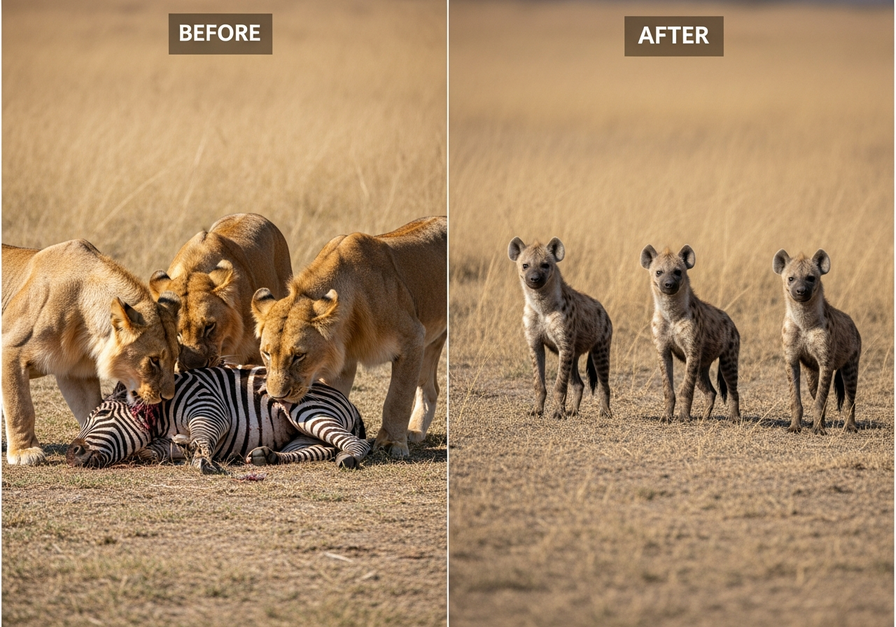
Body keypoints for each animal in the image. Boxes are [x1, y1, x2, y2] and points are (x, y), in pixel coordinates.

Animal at [2, 240, 181, 465]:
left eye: (175, 358)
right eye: (154, 360)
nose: (168, 397)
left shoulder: (76, 373)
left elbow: (90, 408)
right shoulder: (10, 349)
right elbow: (20, 407)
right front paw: (24, 451)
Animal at [250, 216, 447, 458]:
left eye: (299, 356)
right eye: (266, 354)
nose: (278, 397)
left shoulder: (413, 338)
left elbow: (398, 397)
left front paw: (392, 443)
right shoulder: (343, 364)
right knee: (430, 387)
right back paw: (415, 431)